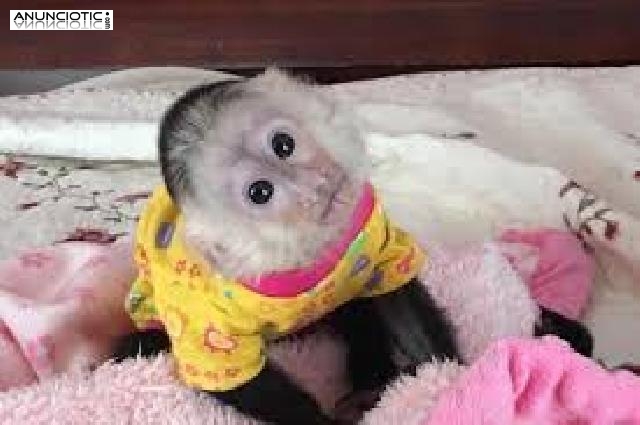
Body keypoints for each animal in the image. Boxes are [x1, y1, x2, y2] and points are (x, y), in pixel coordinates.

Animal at [114, 70, 593, 425]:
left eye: (283, 144)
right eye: (261, 192)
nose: (315, 185)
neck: (304, 252)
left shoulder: (366, 218)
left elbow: (392, 291)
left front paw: (448, 381)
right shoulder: (204, 305)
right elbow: (230, 377)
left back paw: (372, 381)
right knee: (135, 349)